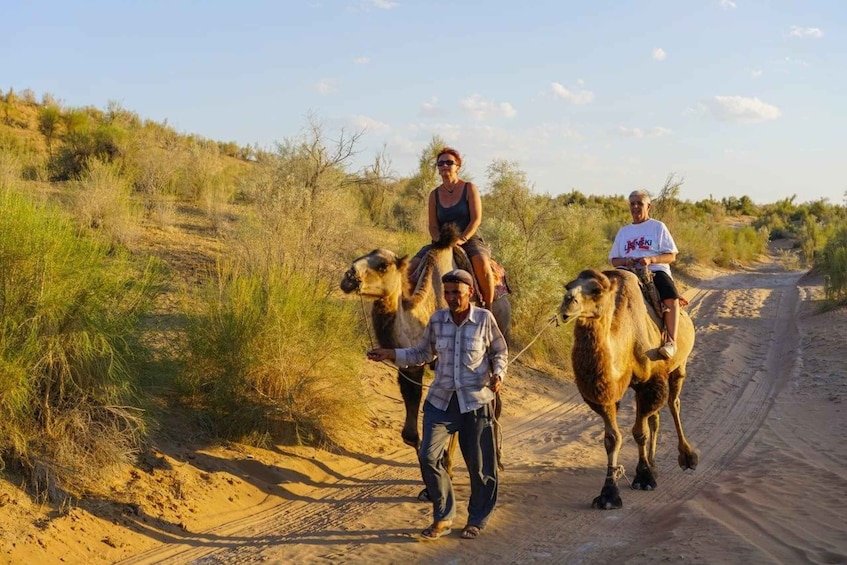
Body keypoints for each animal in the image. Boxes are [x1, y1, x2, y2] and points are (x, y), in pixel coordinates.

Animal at [340, 223, 510, 496]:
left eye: (383, 265)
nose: (348, 277)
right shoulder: (411, 368)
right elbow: (410, 433)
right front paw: (430, 485)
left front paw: (446, 472)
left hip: (500, 334)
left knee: (496, 402)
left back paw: (498, 461)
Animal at [560, 266, 700, 508]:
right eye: (568, 286)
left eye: (596, 290)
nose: (567, 302)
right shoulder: (608, 391)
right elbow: (612, 438)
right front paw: (608, 494)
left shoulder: (650, 380)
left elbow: (639, 432)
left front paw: (643, 478)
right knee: (655, 417)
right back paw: (654, 465)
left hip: (678, 364)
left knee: (673, 403)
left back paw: (687, 457)